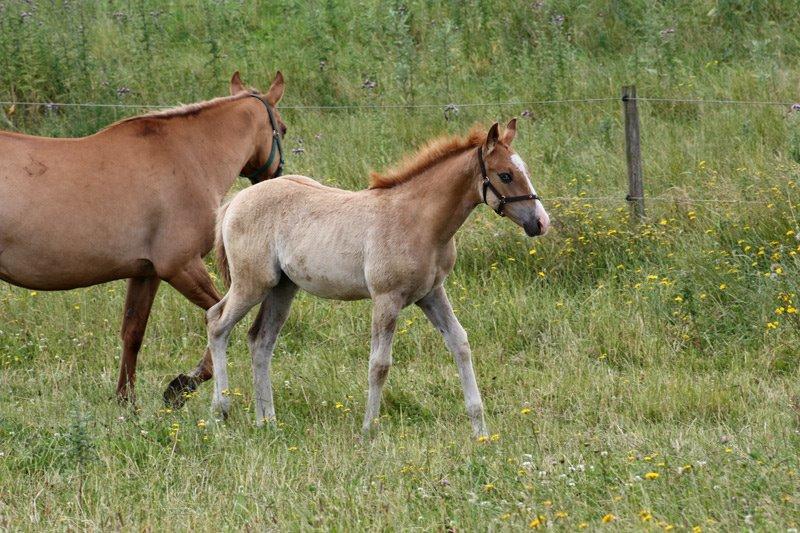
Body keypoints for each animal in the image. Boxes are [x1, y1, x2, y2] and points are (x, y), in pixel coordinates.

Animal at [0, 70, 288, 404]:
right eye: (282, 128)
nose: (275, 181)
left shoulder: (146, 273)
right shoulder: (180, 266)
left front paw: (127, 402)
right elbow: (217, 317)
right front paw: (182, 385)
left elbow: (133, 333)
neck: (188, 157)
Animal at [206, 118, 552, 434]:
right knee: (217, 323)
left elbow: (460, 343)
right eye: (505, 175)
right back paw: (221, 411)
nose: (541, 222)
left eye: (524, 171)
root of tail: (234, 202)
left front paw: (480, 430)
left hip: (282, 288)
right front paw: (368, 430)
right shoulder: (387, 299)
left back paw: (267, 422)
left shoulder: (432, 294)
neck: (419, 222)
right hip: (253, 283)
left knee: (260, 341)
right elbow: (379, 365)